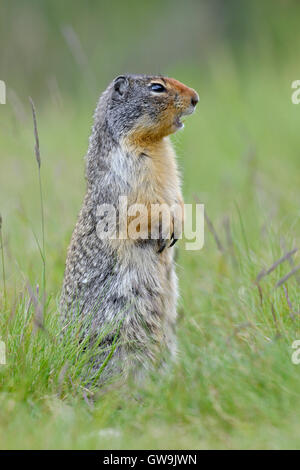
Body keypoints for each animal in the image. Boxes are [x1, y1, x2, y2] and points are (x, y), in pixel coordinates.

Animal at [59, 72, 198, 382]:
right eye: (157, 88)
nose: (196, 98)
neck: (155, 145)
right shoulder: (128, 176)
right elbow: (141, 210)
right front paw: (166, 227)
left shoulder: (172, 177)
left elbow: (178, 198)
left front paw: (179, 224)